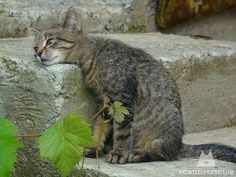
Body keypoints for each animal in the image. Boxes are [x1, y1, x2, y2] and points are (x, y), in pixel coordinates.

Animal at [33, 7, 236, 163]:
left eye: (51, 41)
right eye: (35, 47)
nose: (38, 53)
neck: (94, 57)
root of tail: (179, 143)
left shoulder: (122, 99)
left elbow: (122, 131)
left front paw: (118, 153)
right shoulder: (106, 103)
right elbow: (101, 127)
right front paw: (94, 147)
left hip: (162, 130)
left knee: (164, 154)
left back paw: (137, 154)